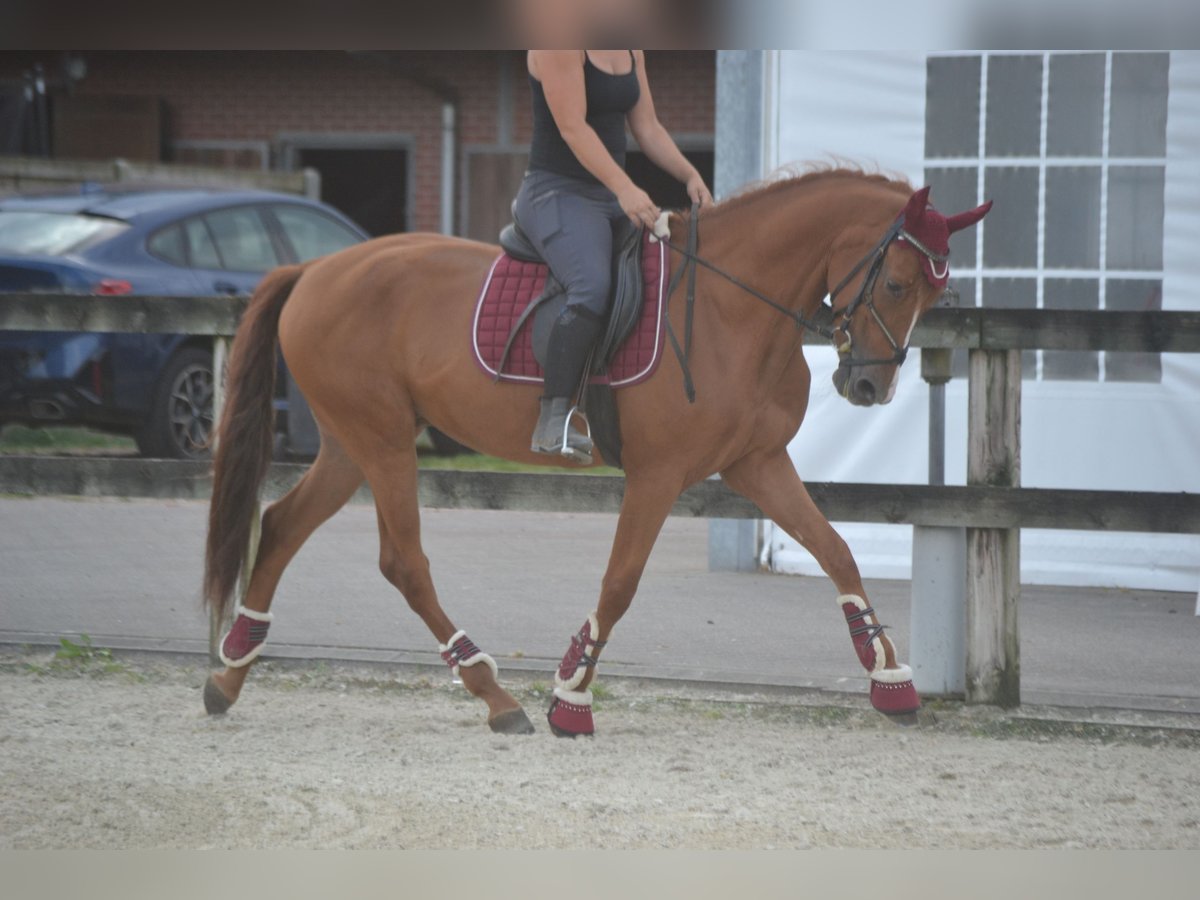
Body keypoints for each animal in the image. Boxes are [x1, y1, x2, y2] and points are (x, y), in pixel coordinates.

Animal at [206, 170, 988, 739]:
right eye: (895, 283)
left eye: (932, 295)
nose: (868, 387)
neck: (733, 309)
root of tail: (314, 269)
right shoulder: (658, 475)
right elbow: (620, 583)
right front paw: (569, 699)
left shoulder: (757, 463)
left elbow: (835, 551)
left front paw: (890, 680)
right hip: (384, 442)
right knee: (402, 561)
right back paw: (494, 694)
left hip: (351, 444)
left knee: (281, 524)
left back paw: (228, 676)